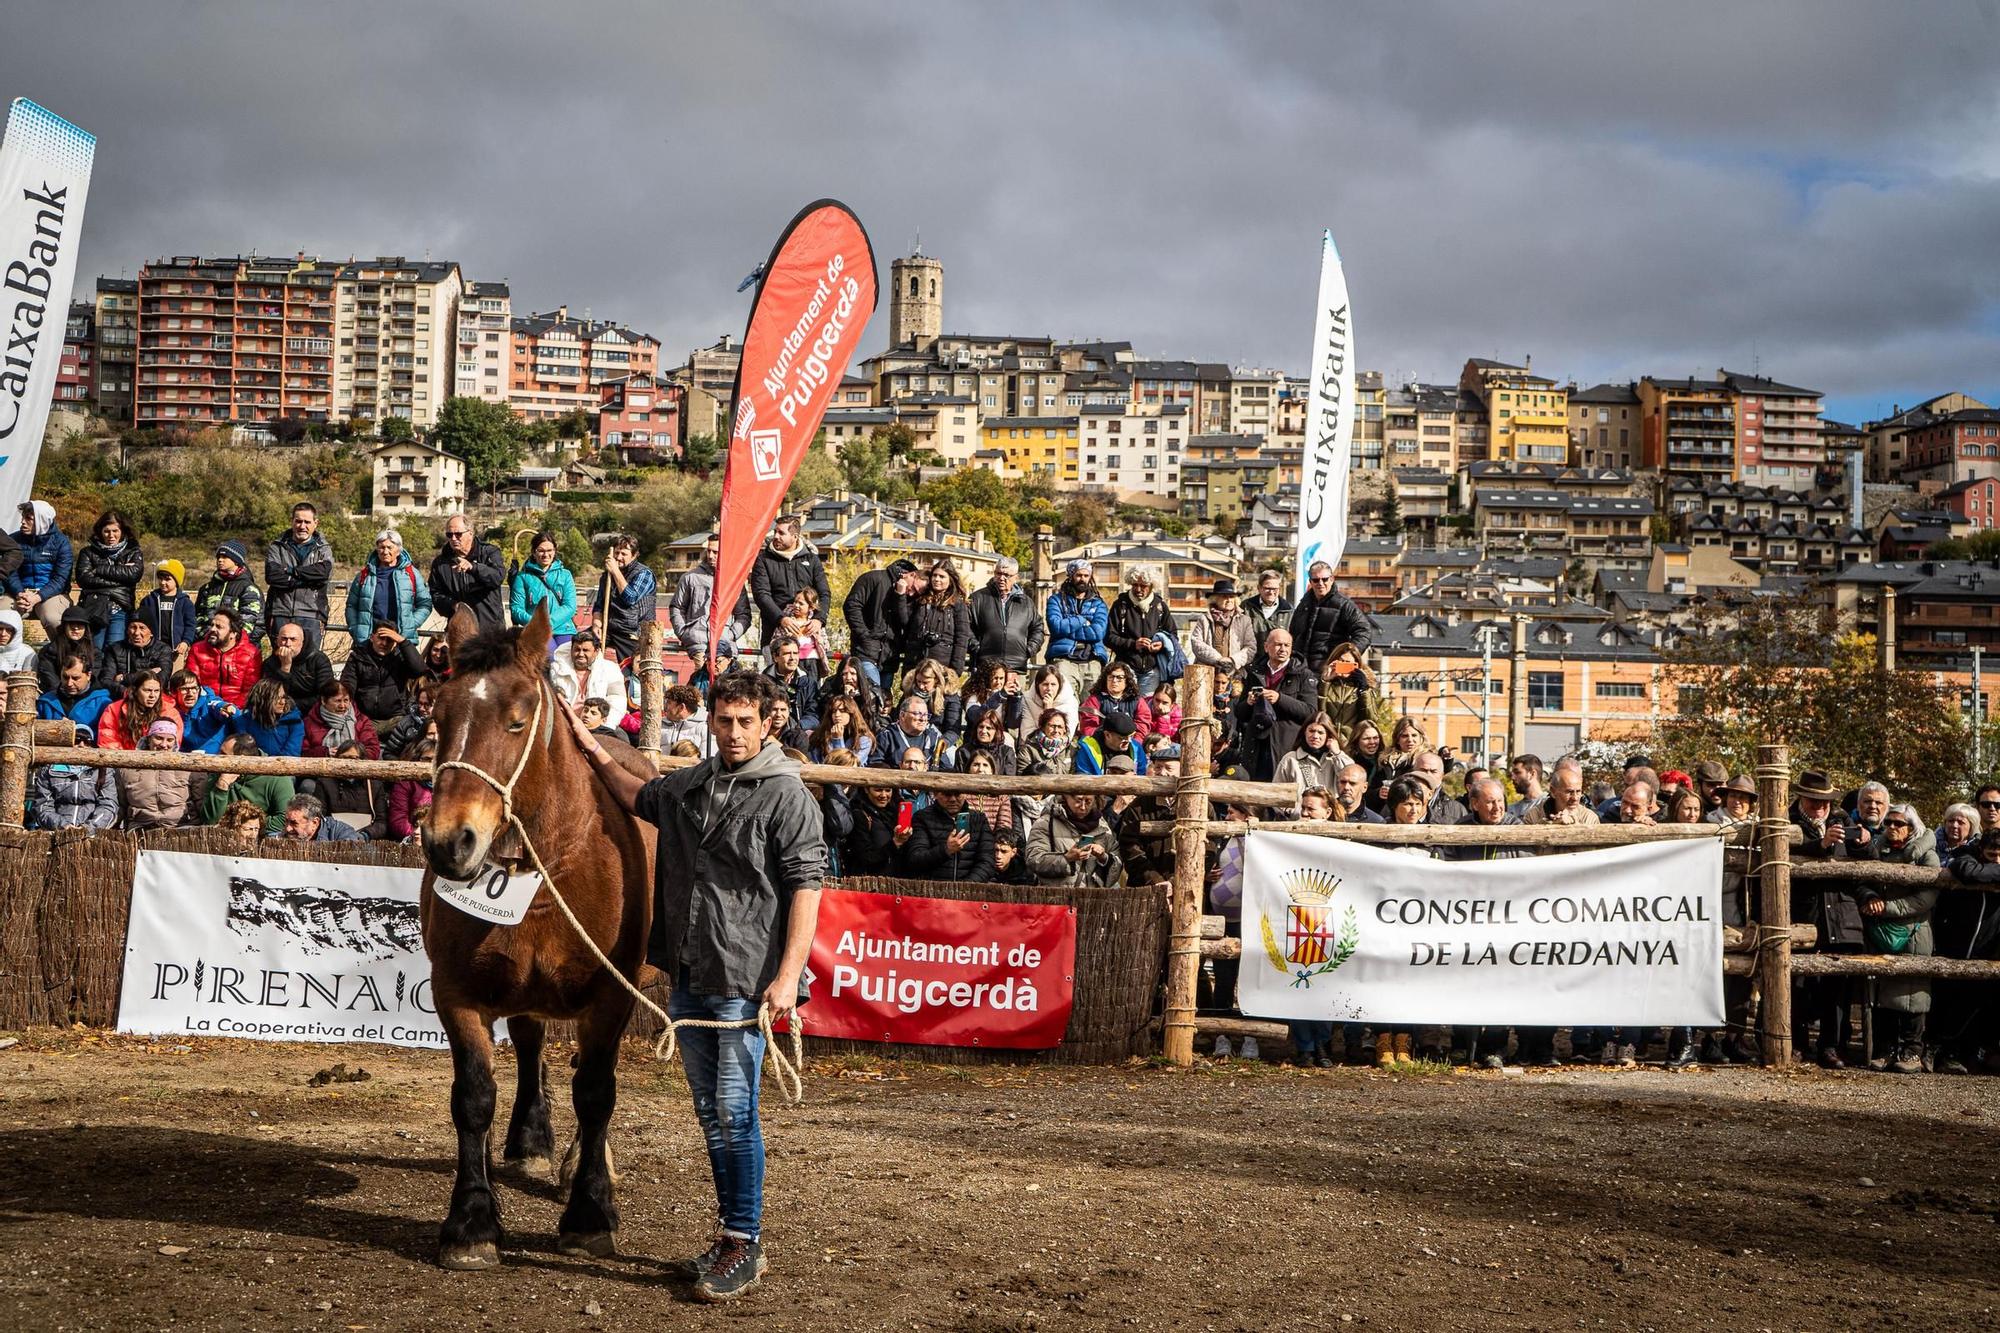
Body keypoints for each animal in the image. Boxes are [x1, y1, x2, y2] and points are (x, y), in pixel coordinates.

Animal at [420, 600, 656, 1264]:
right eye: (439, 716)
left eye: (517, 721)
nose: (450, 842)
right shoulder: (455, 994)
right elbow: (473, 1098)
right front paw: (471, 1221)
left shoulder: (611, 997)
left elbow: (597, 1091)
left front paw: (590, 1211)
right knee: (530, 1042)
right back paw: (532, 1139)